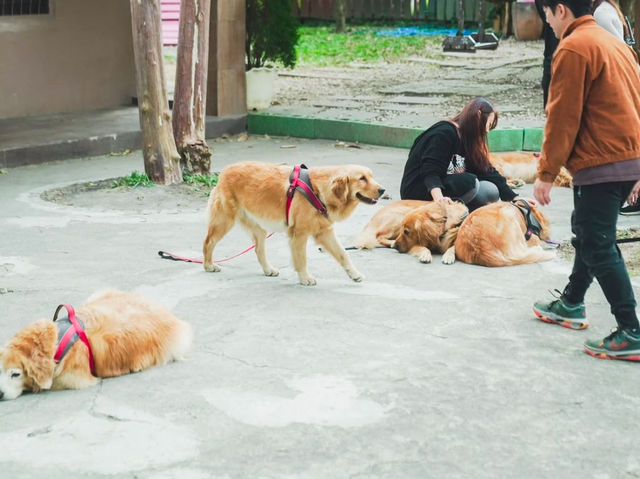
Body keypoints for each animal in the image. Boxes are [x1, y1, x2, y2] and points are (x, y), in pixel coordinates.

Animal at [205, 163, 384, 286]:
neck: (318, 190)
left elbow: (343, 254)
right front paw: (305, 278)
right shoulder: (299, 234)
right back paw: (208, 265)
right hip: (224, 221)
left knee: (258, 250)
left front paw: (354, 274)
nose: (382, 190)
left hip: (259, 229)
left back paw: (268, 269)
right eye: (362, 178)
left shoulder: (325, 232)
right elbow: (302, 259)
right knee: (208, 242)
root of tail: (225, 171)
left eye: (372, 176)